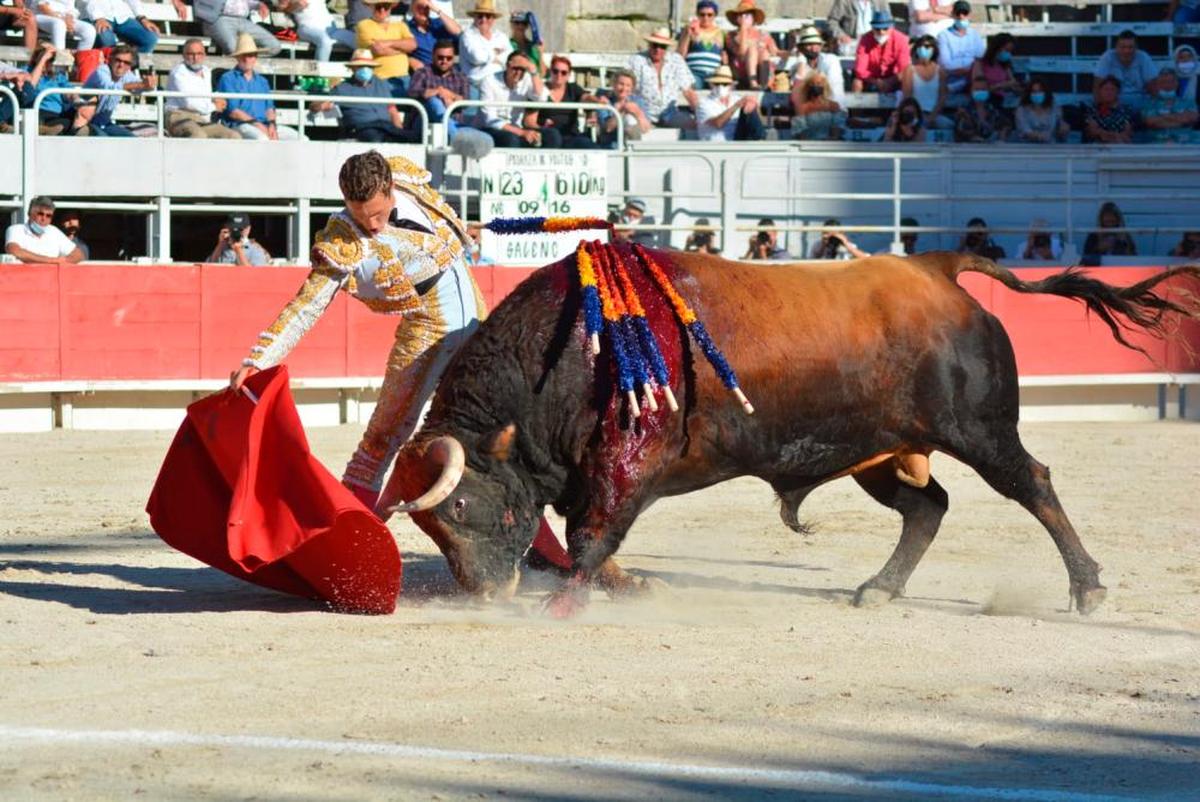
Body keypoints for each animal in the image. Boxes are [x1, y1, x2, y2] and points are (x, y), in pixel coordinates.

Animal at [374, 247, 1200, 619]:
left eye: (460, 507)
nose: (486, 593)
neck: (569, 349)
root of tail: (938, 268)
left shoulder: (627, 462)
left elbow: (590, 533)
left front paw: (569, 601)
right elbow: (589, 536)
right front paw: (627, 585)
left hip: (982, 430)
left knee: (1034, 485)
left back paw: (1088, 587)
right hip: (877, 453)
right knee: (928, 508)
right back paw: (878, 588)